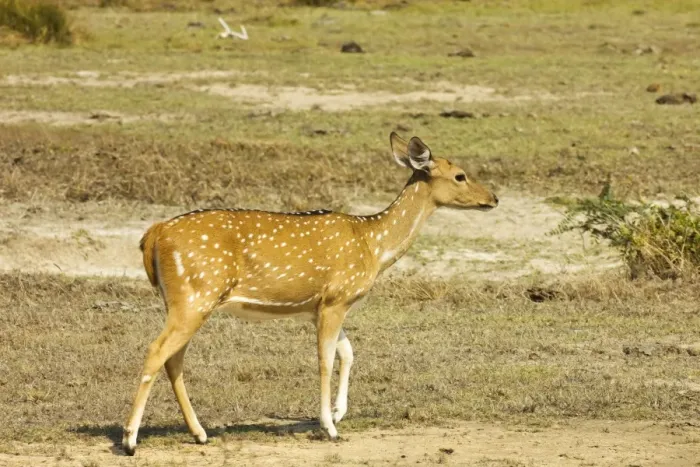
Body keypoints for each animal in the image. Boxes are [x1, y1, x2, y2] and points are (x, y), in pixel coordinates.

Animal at [122, 132, 499, 455]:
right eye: (460, 175)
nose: (494, 198)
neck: (373, 246)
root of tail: (154, 234)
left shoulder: (324, 305)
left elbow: (348, 353)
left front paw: (339, 411)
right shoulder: (336, 299)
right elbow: (325, 360)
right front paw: (330, 427)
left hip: (185, 301)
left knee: (173, 359)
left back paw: (199, 433)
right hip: (195, 296)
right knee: (156, 351)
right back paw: (130, 440)